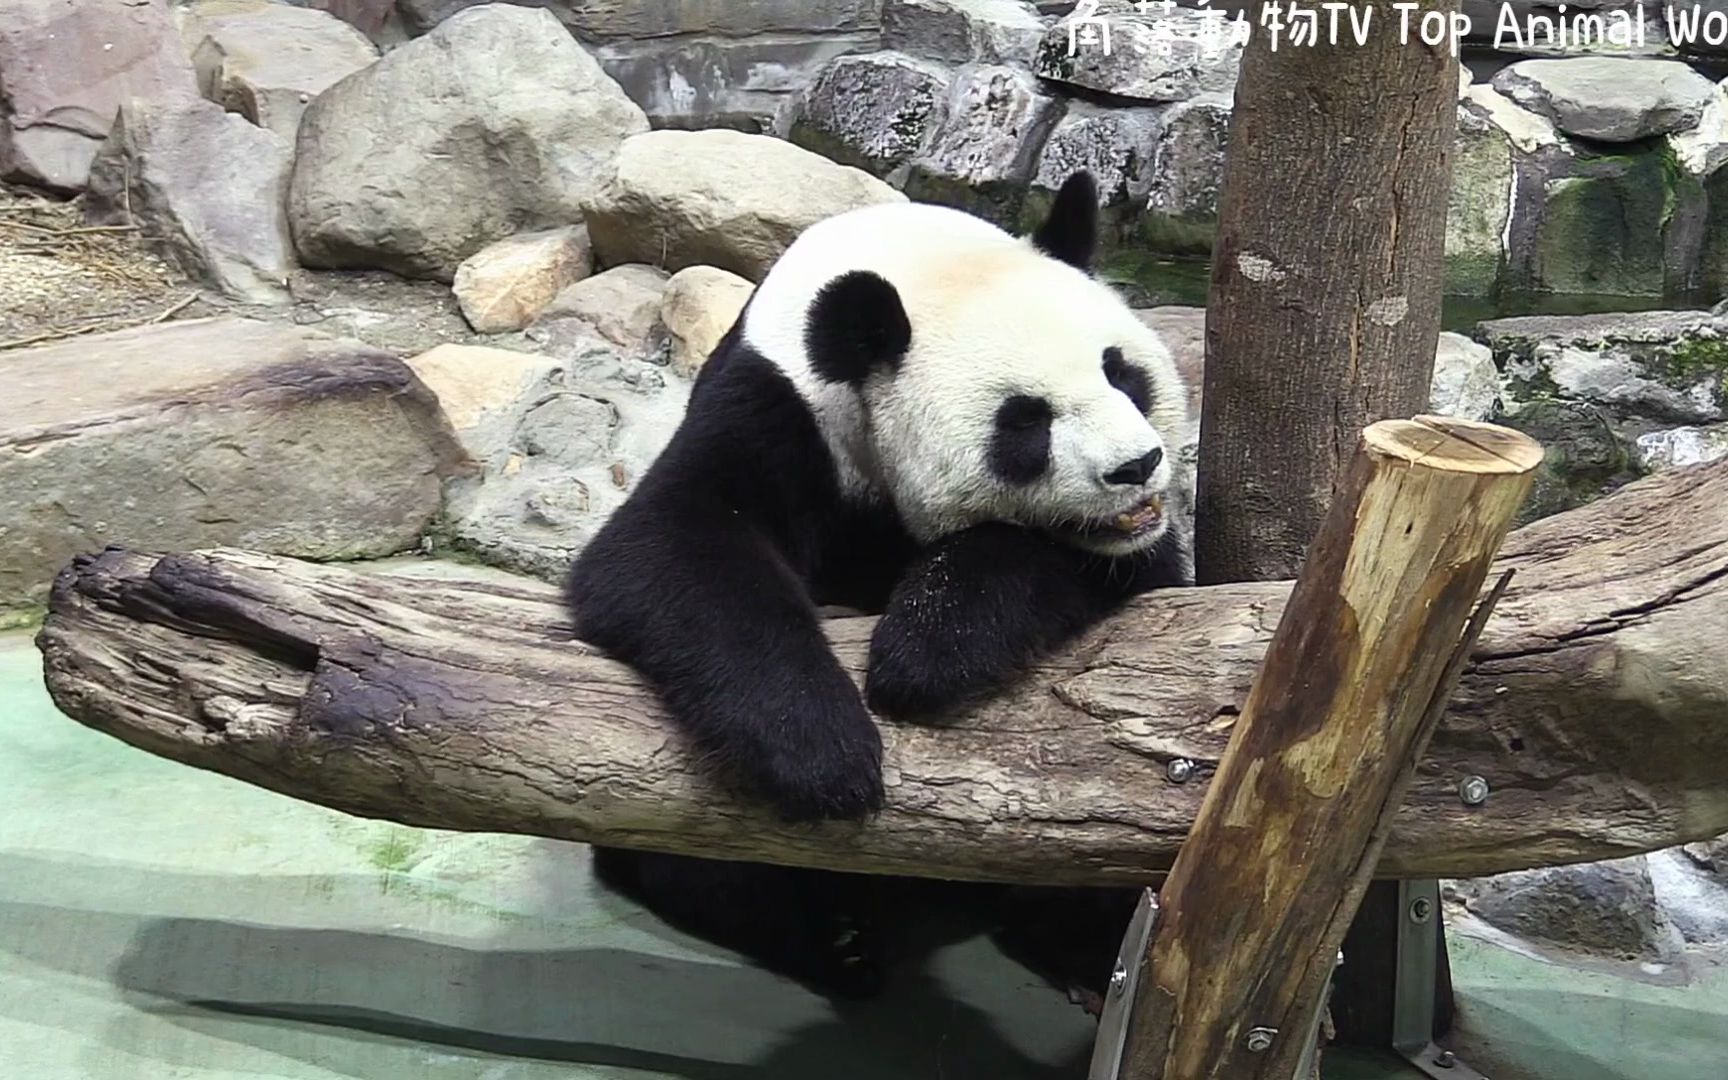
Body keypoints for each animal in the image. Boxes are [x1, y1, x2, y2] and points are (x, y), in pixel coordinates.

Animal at [566, 170, 1188, 1002]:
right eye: (1025, 422)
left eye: (1122, 372)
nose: (1136, 466)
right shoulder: (775, 403)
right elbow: (665, 545)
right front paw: (825, 754)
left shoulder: (1142, 546)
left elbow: (1103, 564)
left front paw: (927, 649)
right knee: (686, 859)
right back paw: (829, 940)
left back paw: (1074, 950)